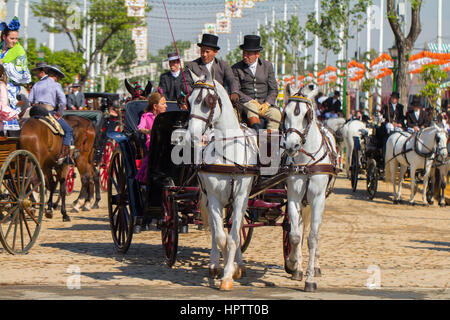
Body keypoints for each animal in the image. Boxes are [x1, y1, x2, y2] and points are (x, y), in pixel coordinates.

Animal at [185, 71, 256, 292]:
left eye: (208, 100)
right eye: (188, 100)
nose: (191, 136)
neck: (228, 154)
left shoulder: (241, 197)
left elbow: (233, 238)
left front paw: (229, 274)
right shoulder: (214, 198)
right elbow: (220, 237)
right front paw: (224, 269)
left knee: (237, 227)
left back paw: (238, 265)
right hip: (208, 197)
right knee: (216, 229)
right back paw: (215, 264)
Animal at [284, 85, 336, 292]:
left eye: (307, 115)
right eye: (285, 113)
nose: (291, 145)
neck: (305, 163)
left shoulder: (317, 199)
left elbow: (312, 238)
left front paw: (310, 279)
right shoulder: (294, 197)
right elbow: (295, 235)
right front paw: (293, 265)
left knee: (316, 230)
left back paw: (316, 266)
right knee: (300, 227)